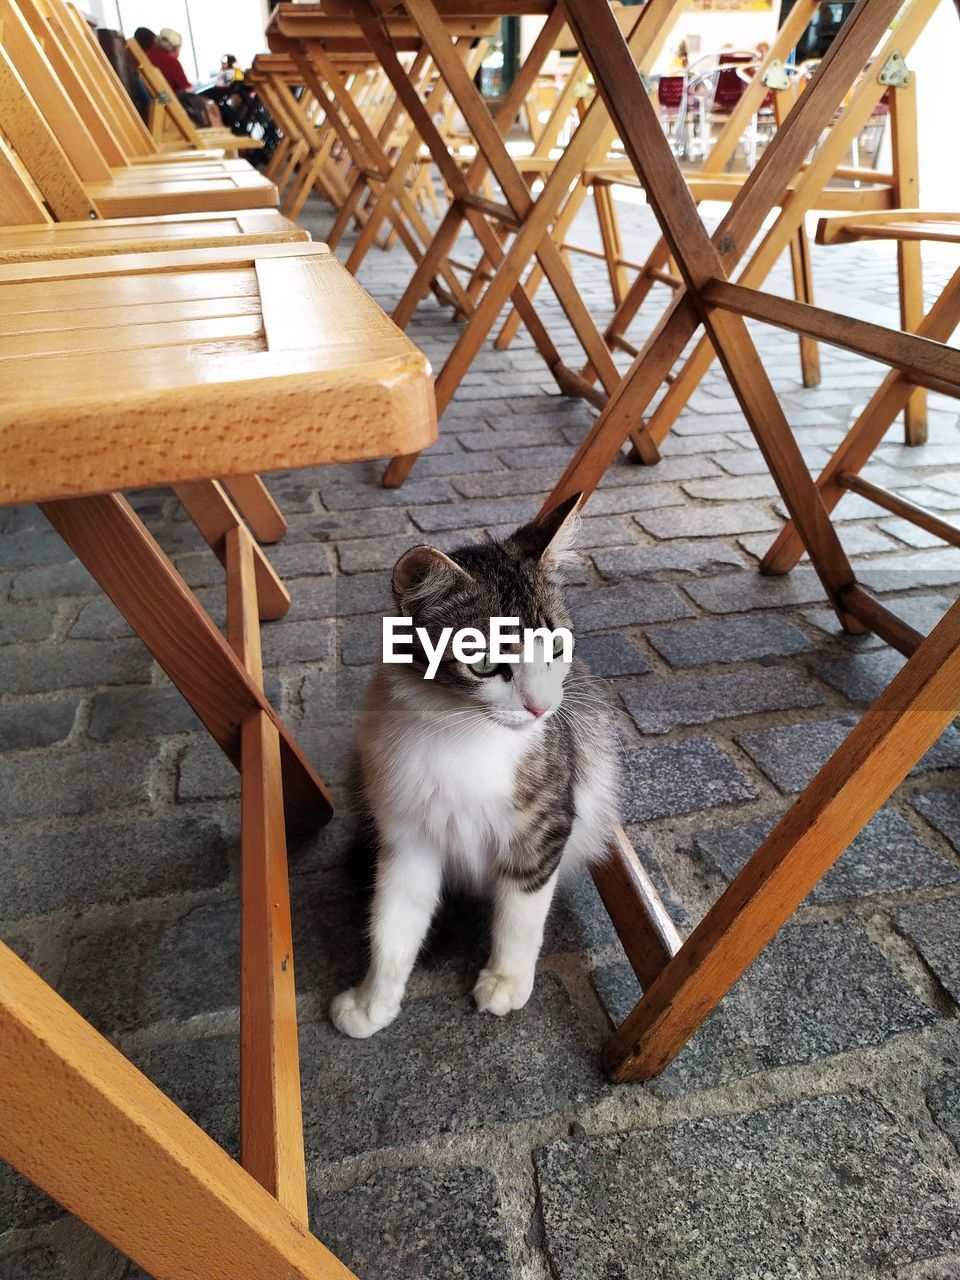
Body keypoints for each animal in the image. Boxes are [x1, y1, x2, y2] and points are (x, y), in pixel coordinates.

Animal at [327, 491, 619, 1039]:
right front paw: (371, 1003)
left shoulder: (544, 831)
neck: (460, 730)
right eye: (483, 663)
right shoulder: (406, 839)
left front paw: (506, 982)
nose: (541, 708)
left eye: (558, 646)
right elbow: (391, 928)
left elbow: (520, 917)